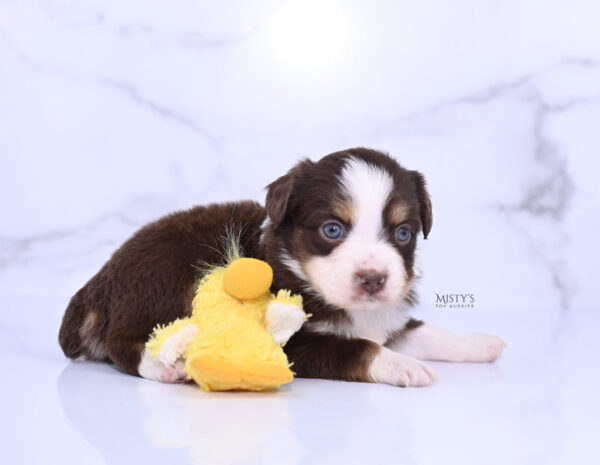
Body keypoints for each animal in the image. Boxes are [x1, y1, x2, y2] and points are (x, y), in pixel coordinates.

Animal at [58, 148, 504, 384]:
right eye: (332, 229)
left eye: (403, 233)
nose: (374, 279)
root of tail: (102, 278)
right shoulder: (296, 345)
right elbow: (358, 347)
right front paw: (404, 366)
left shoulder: (384, 316)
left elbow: (422, 331)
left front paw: (478, 343)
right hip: (165, 277)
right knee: (122, 341)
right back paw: (169, 365)